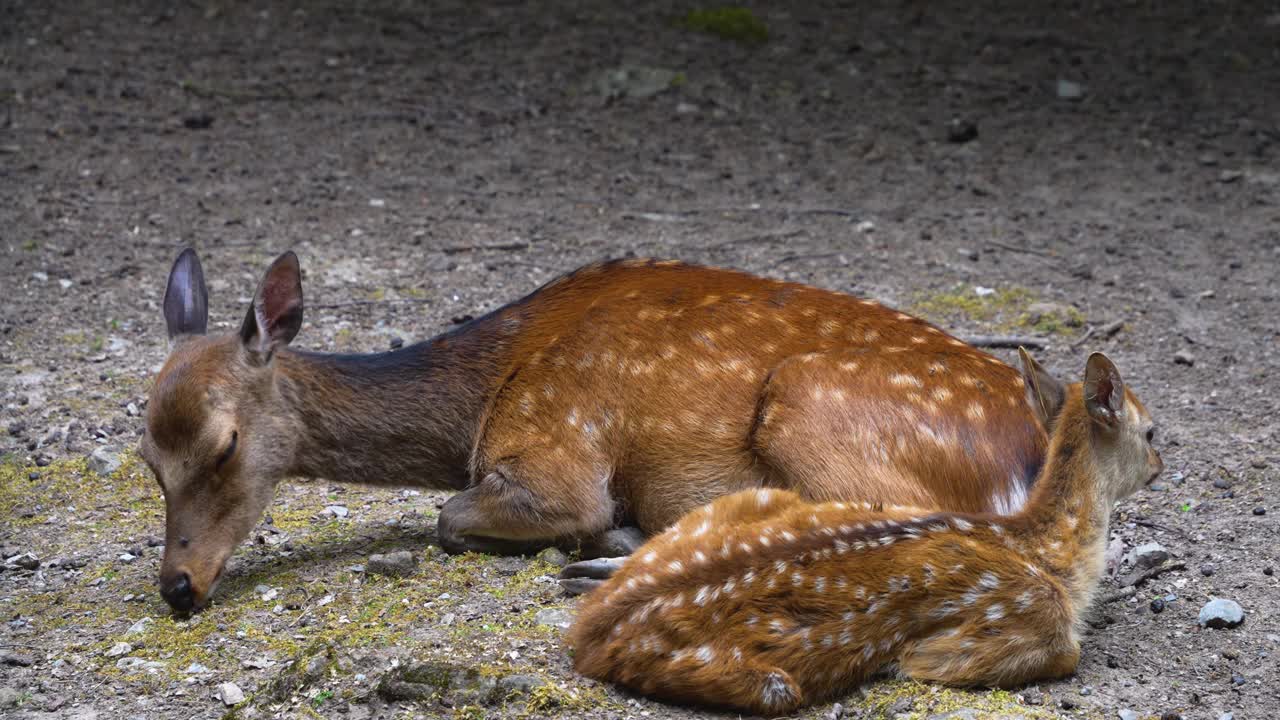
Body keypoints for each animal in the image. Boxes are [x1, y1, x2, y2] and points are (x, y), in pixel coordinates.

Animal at [145, 249, 1054, 607]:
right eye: (147, 457)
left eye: (223, 444)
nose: (178, 585)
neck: (482, 392)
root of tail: (1031, 454)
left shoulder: (556, 454)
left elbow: (450, 517)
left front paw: (607, 532)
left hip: (807, 401)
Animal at [570, 348, 1162, 712]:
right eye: (1153, 431)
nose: (1160, 465)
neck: (1051, 554)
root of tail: (587, 638)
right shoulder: (1019, 628)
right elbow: (1066, 653)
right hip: (770, 684)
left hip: (755, 497)